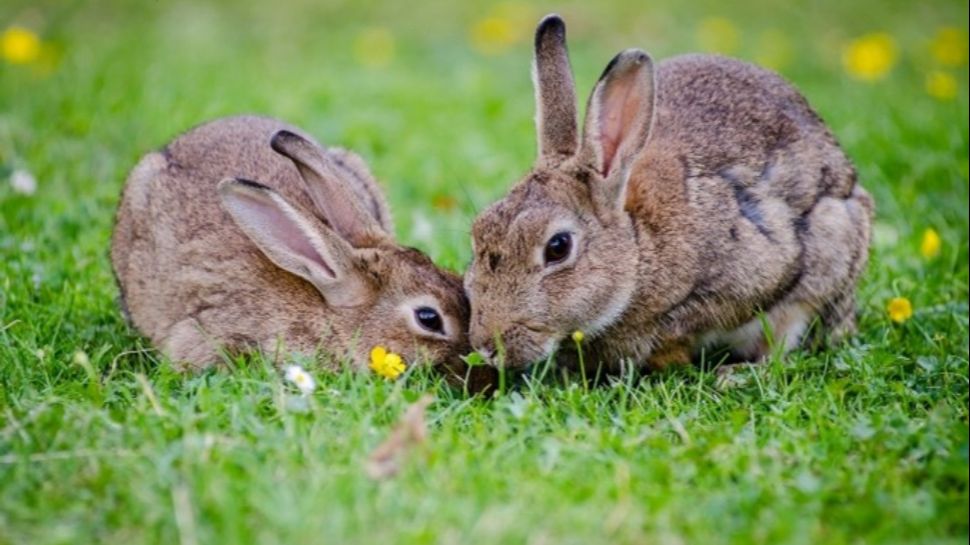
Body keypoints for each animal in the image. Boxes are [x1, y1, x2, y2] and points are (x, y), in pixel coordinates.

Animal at [464, 15, 873, 371]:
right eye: (478, 233)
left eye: (558, 247)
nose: (486, 347)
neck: (638, 249)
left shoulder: (756, 270)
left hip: (831, 246)